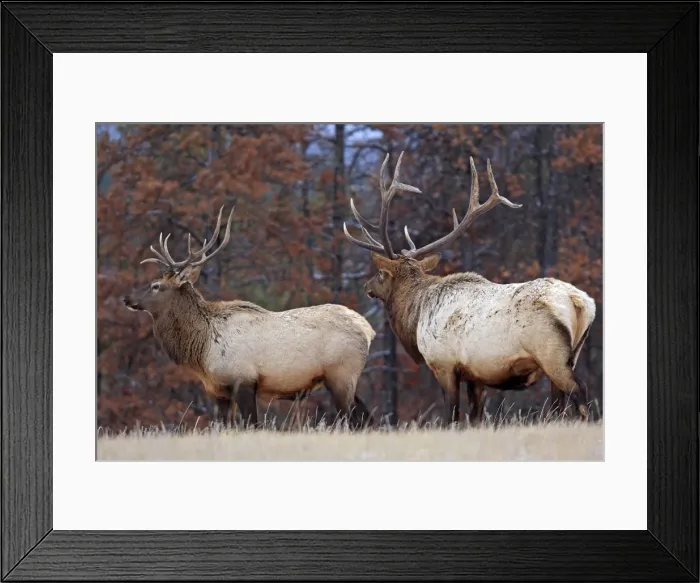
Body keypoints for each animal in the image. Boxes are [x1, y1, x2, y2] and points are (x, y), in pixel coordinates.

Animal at [123, 206, 377, 430]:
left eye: (156, 286)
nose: (126, 298)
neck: (203, 349)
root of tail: (368, 329)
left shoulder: (244, 381)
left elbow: (252, 425)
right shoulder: (217, 390)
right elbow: (222, 427)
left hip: (341, 374)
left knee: (352, 418)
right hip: (348, 379)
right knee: (366, 417)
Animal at [343, 151, 596, 427]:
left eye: (380, 273)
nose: (366, 286)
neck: (416, 316)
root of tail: (580, 301)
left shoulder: (443, 364)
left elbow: (451, 416)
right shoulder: (476, 375)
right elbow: (476, 417)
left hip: (551, 352)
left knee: (580, 392)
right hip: (574, 353)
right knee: (559, 405)